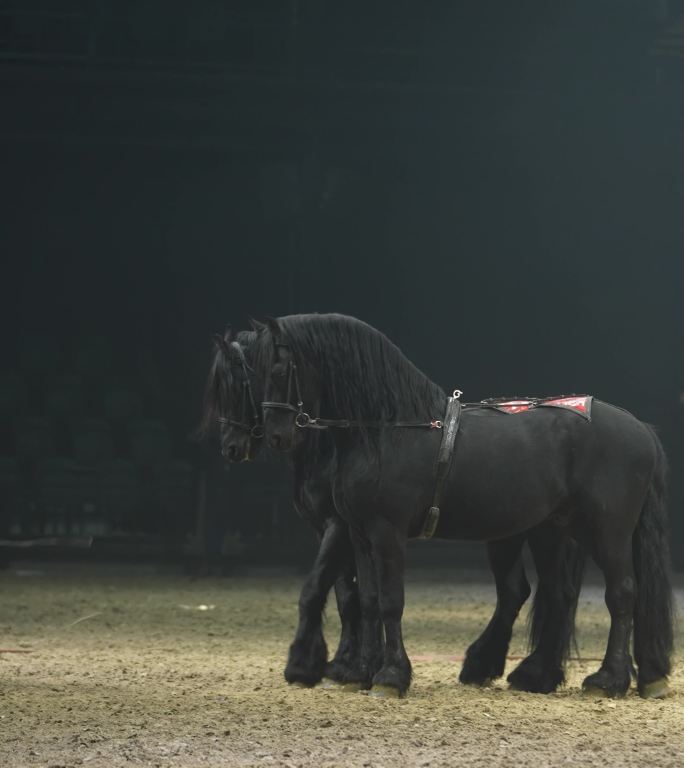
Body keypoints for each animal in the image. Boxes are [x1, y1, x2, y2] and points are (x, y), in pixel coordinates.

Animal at [196, 328, 360, 688]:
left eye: (237, 387)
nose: (230, 448)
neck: (326, 445)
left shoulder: (339, 526)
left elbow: (316, 588)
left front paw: (303, 664)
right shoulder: (328, 530)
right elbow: (345, 594)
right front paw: (344, 664)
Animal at [254, 316, 672, 700]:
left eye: (279, 370)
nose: (276, 435)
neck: (389, 431)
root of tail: (640, 429)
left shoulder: (386, 533)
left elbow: (391, 601)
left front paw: (390, 676)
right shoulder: (358, 534)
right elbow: (369, 601)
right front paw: (360, 672)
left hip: (606, 532)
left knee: (622, 593)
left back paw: (608, 680)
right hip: (552, 530)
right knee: (558, 594)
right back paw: (539, 675)